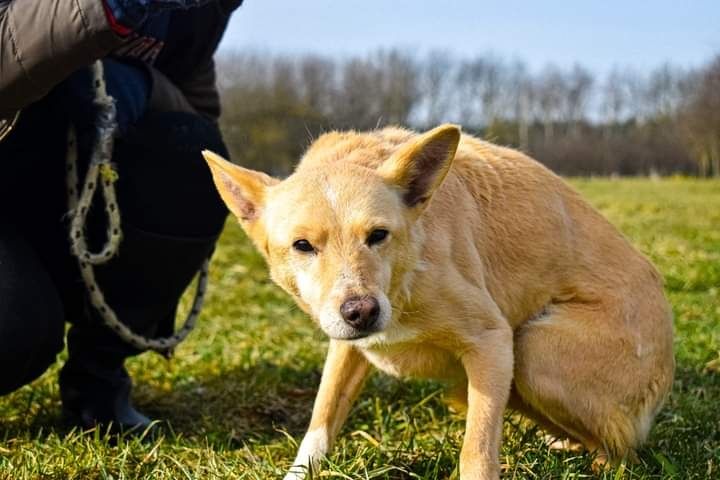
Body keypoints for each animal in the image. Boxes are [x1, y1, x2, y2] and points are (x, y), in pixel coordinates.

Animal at [202, 126, 676, 480]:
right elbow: (321, 420)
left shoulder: (491, 341)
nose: (361, 312)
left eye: (378, 235)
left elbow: (476, 451)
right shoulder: (346, 346)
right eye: (302, 246)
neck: (404, 278)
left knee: (621, 450)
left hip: (533, 350)